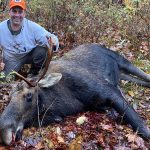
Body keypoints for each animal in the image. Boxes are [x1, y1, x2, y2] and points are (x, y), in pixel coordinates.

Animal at [0, 43, 150, 145]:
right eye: (9, 98)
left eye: (29, 96)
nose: (3, 129)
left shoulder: (108, 91)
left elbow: (141, 126)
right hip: (121, 74)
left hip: (121, 60)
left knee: (144, 75)